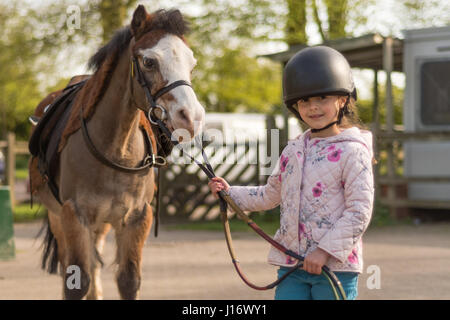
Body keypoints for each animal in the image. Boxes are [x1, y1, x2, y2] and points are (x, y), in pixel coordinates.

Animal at [28, 5, 204, 300]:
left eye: (191, 64)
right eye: (149, 62)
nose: (191, 117)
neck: (115, 150)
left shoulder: (136, 218)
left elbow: (128, 280)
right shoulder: (73, 215)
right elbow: (77, 280)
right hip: (58, 217)